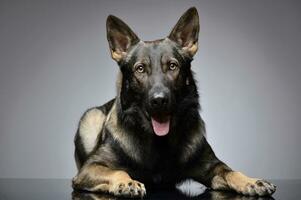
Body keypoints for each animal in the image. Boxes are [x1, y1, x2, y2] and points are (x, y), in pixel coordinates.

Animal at [72, 7, 274, 198]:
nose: (159, 100)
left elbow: (231, 171)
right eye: (140, 69)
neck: (159, 142)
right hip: (91, 117)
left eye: (172, 66)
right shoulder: (89, 168)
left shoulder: (212, 167)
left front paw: (251, 181)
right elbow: (118, 171)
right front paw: (126, 183)